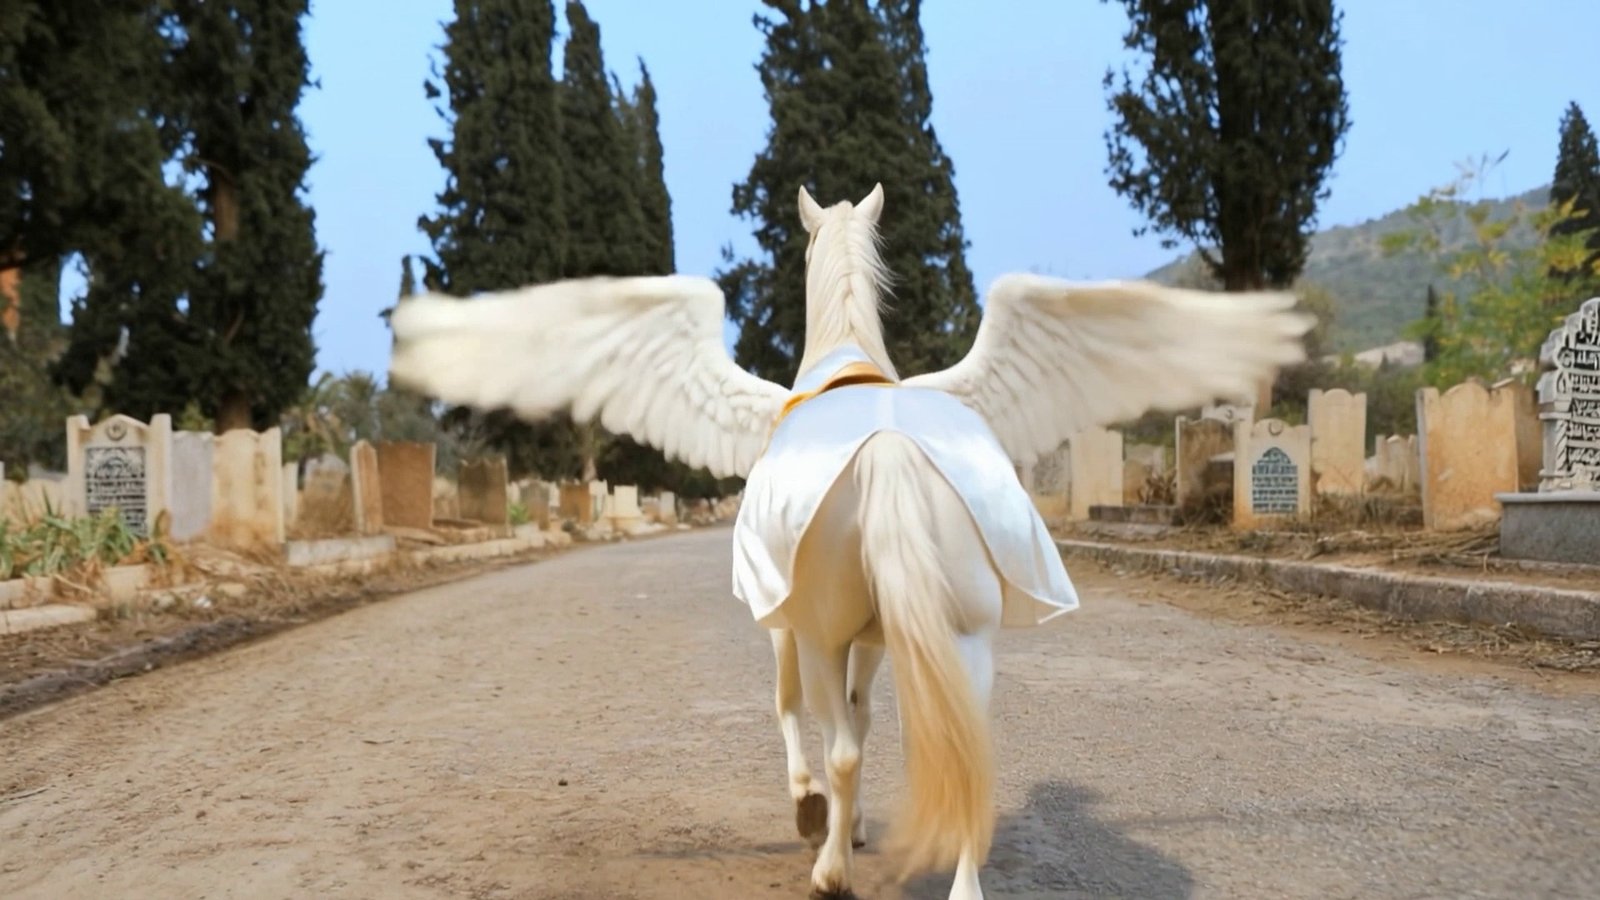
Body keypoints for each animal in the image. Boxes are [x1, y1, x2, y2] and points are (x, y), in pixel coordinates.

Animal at [386, 182, 1313, 899]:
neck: (847, 362)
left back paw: (828, 868)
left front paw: (816, 819)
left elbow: (801, 716)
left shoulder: (796, 623)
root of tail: (889, 449)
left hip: (821, 628)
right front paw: (853, 822)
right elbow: (870, 725)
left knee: (831, 740)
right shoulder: (876, 637)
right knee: (963, 754)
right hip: (962, 637)